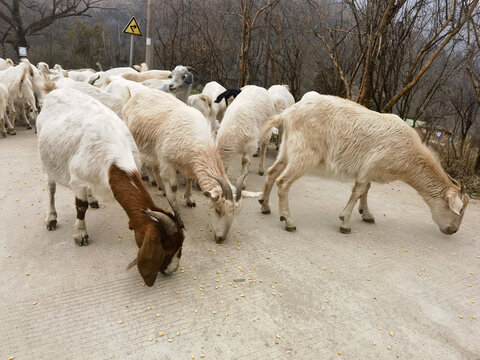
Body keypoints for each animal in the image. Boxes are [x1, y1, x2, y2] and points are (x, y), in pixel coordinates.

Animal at [36, 88, 184, 286]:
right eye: (166, 248)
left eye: (180, 246)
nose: (172, 270)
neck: (114, 160)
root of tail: (56, 90)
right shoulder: (78, 181)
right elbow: (80, 207)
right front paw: (80, 234)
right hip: (46, 161)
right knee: (51, 188)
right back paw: (51, 218)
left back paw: (93, 200)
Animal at [124, 88, 258, 242]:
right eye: (218, 210)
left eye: (236, 213)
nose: (220, 238)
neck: (197, 142)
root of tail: (134, 94)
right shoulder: (167, 162)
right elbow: (174, 188)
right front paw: (179, 219)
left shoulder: (188, 164)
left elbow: (189, 180)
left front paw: (189, 200)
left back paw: (160, 187)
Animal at [258, 95, 468, 235]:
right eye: (459, 210)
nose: (453, 230)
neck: (408, 154)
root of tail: (287, 114)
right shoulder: (370, 167)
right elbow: (358, 190)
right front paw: (345, 223)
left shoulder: (370, 169)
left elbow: (365, 190)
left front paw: (366, 214)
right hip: (305, 154)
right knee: (283, 182)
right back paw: (288, 221)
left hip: (287, 150)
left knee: (271, 172)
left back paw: (265, 206)